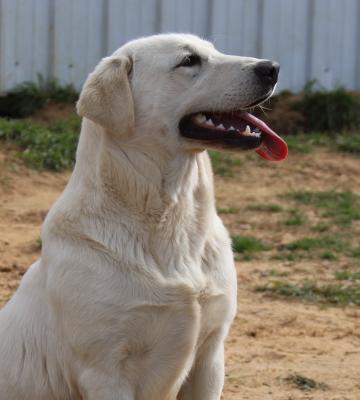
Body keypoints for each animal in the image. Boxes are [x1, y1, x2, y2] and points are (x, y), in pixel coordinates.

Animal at [0, 34, 286, 400]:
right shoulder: (105, 371)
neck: (170, 221)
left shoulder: (210, 356)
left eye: (215, 50)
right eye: (189, 61)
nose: (272, 68)